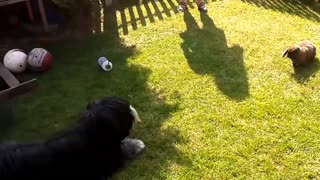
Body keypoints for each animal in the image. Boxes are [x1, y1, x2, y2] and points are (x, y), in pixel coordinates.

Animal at [0, 97, 145, 179]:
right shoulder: (110, 163)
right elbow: (124, 152)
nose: (131, 106)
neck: (89, 133)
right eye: (124, 109)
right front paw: (136, 145)